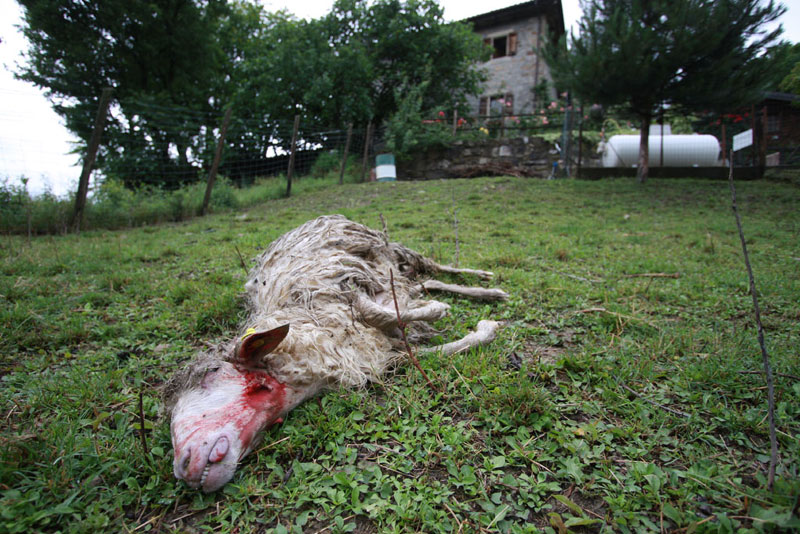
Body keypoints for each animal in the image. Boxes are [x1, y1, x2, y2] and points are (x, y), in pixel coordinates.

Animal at [163, 214, 507, 492]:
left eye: (212, 374)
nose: (184, 467)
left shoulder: (349, 296)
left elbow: (377, 310)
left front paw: (440, 310)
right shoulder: (374, 353)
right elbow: (437, 344)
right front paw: (482, 325)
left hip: (392, 250)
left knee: (435, 268)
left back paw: (487, 281)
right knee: (427, 280)